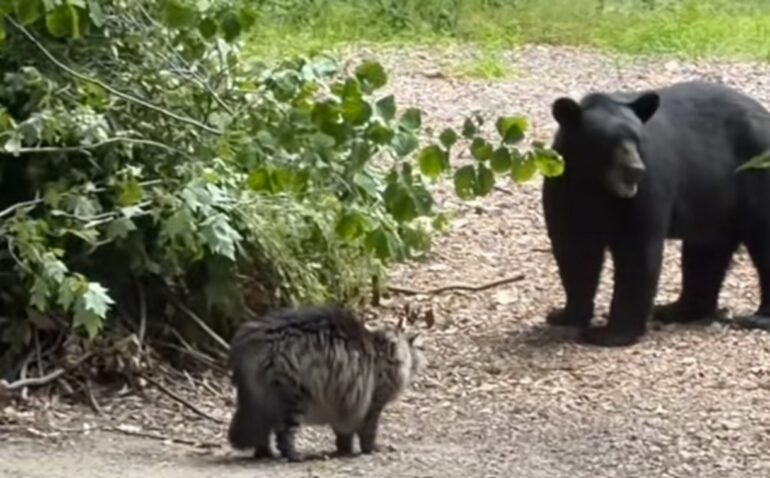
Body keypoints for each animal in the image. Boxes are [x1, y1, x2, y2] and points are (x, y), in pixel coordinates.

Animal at [542, 80, 770, 347]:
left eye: (637, 139)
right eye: (608, 141)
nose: (634, 169)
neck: (597, 185)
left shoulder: (648, 187)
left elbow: (637, 251)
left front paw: (610, 333)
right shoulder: (562, 185)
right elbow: (574, 250)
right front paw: (564, 315)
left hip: (756, 177)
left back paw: (758, 318)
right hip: (716, 202)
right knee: (706, 252)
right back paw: (677, 310)